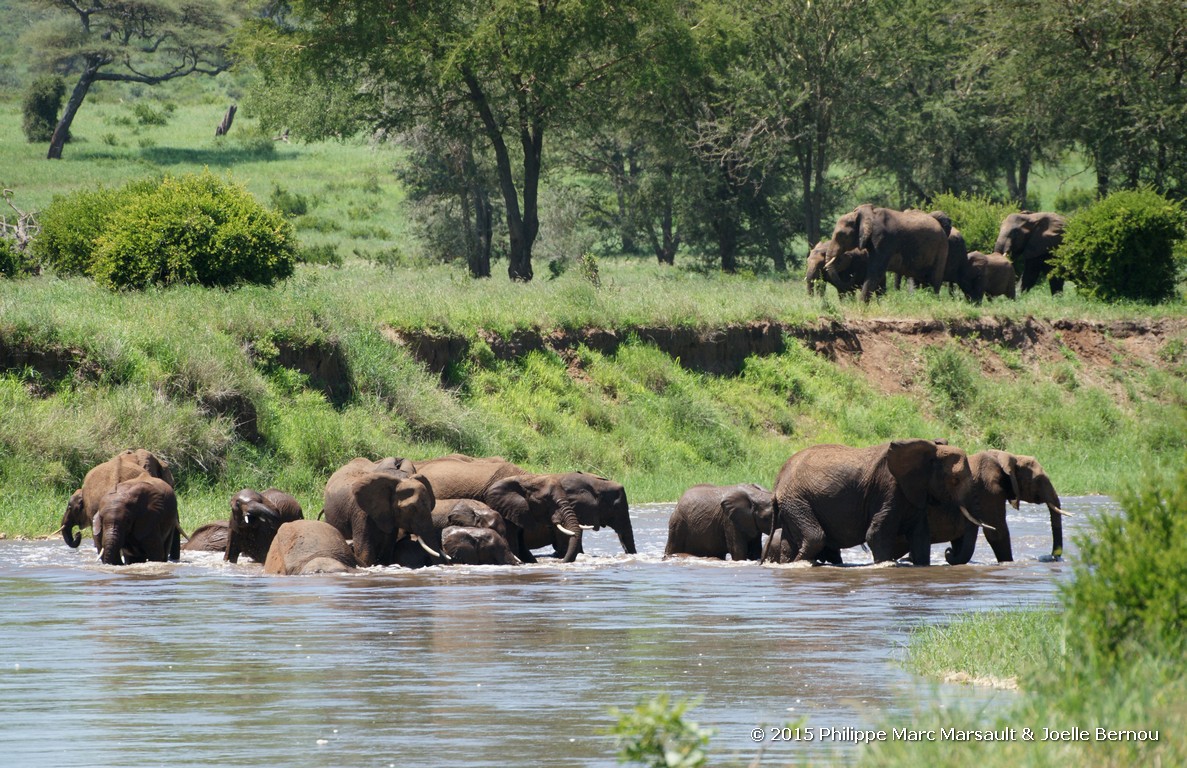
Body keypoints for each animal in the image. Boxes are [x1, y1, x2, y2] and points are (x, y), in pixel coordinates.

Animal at [764, 439, 987, 565]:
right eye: (955, 480)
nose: (949, 552)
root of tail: (778, 480)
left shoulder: (913, 492)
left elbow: (921, 536)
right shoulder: (888, 489)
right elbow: (877, 534)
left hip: (792, 504)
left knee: (789, 544)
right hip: (797, 500)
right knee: (815, 537)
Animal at [892, 451, 1073, 565]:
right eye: (1039, 479)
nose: (1052, 558)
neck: (1009, 457)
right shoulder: (989, 491)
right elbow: (998, 532)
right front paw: (1009, 563)